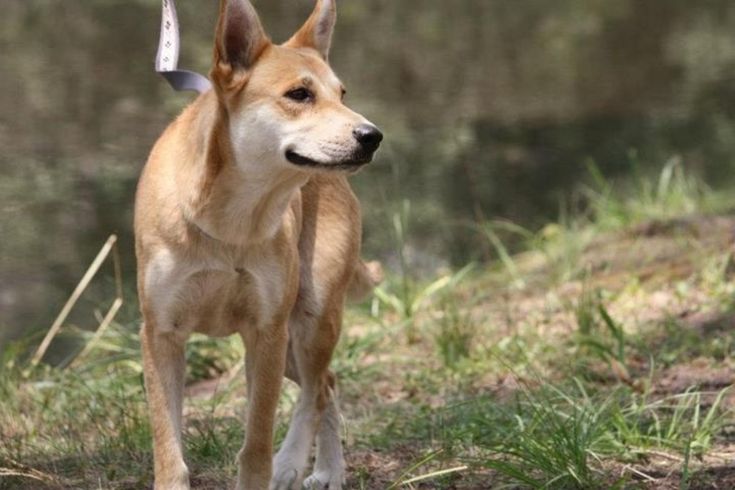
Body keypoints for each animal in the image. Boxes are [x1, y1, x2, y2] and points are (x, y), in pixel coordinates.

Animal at [134, 1, 386, 488]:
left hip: (309, 319)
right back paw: (325, 468)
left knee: (316, 391)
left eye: (341, 94)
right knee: (328, 383)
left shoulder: (266, 332)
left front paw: (272, 464)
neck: (230, 224)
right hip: (290, 347)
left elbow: (256, 444)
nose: (372, 136)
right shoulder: (161, 335)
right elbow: (168, 446)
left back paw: (301, 463)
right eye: (299, 94)